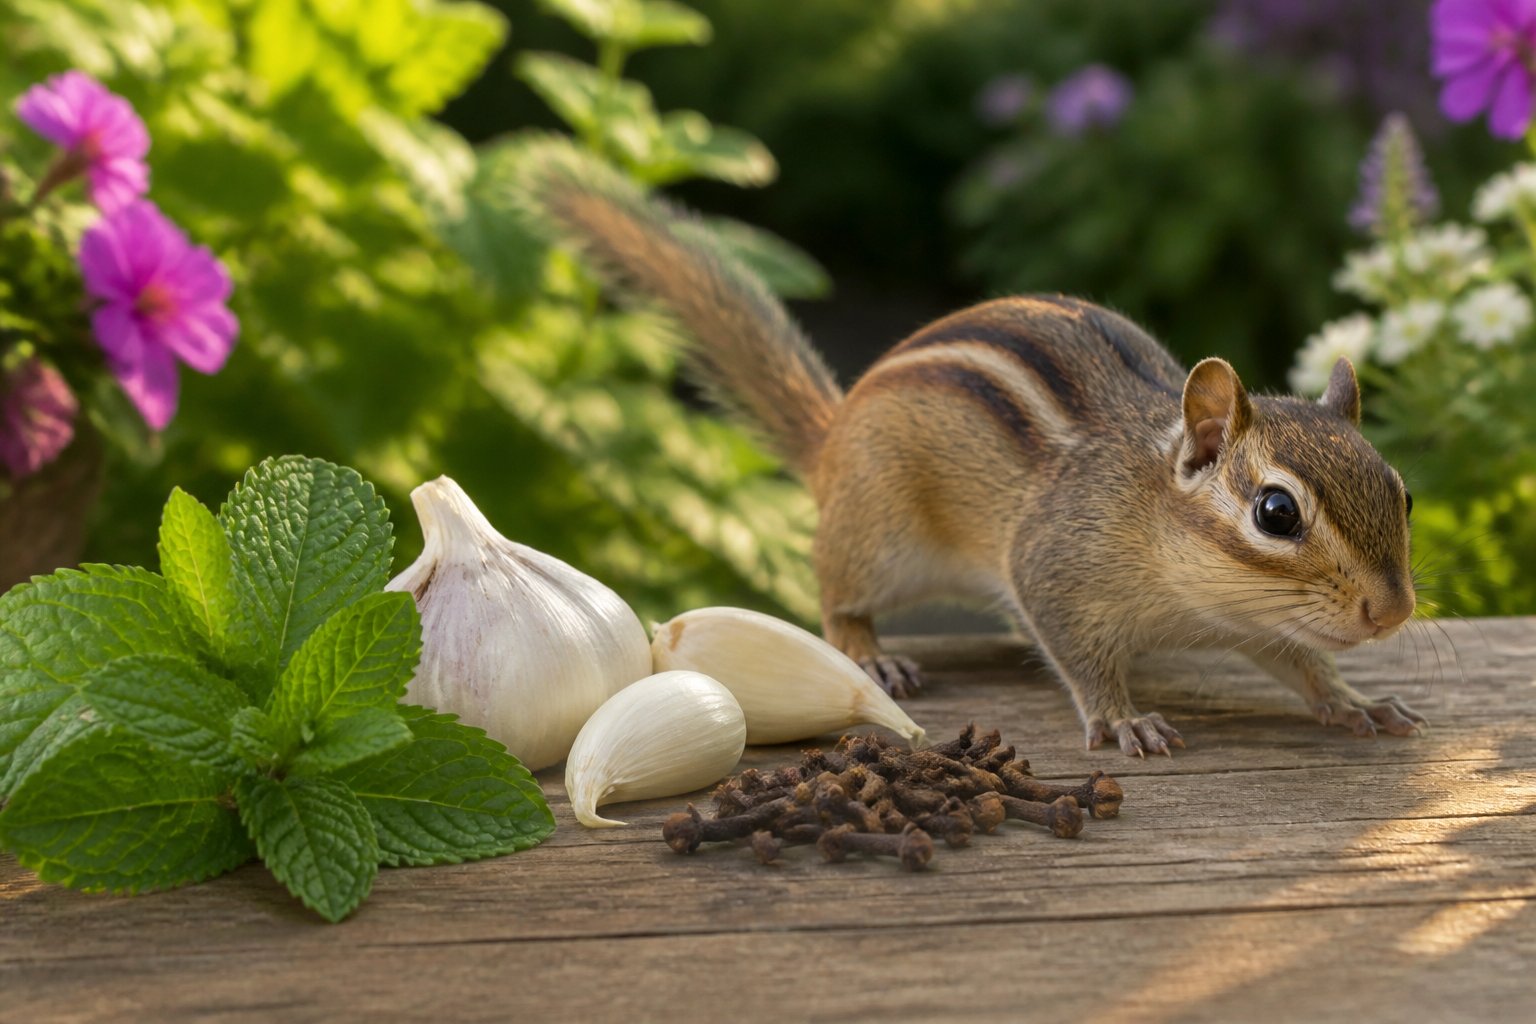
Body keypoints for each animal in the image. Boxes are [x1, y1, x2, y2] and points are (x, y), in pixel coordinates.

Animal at [528, 152, 1427, 757]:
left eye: (1403, 493)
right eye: (1275, 512)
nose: (1393, 612)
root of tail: (832, 440)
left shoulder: (1260, 618)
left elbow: (1300, 662)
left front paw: (1355, 700)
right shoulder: (1054, 567)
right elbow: (1079, 654)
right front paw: (1123, 716)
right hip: (878, 538)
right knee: (837, 598)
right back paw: (873, 655)